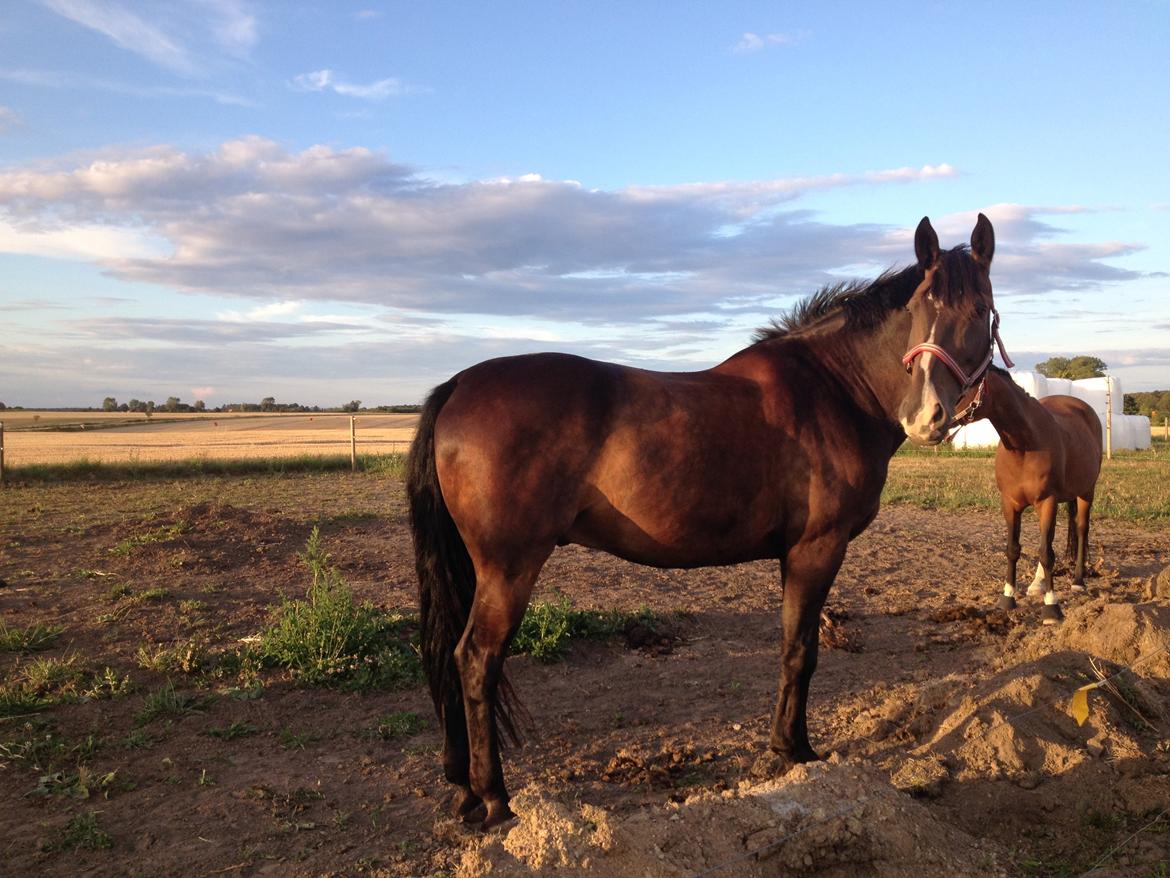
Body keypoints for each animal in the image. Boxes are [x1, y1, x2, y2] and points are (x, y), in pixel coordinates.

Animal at [407, 216, 1001, 828]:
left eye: (981, 309)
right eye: (921, 306)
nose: (928, 417)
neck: (835, 390)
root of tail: (459, 385)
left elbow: (793, 646)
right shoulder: (817, 548)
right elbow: (801, 651)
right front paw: (793, 750)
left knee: (452, 656)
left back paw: (464, 786)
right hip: (509, 569)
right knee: (476, 660)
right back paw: (494, 797)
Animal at [968, 367, 1104, 622]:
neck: (1023, 447)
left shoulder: (1047, 501)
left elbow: (1046, 553)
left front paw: (1052, 606)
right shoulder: (1010, 504)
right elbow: (1014, 549)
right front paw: (1007, 598)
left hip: (1085, 491)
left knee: (1081, 530)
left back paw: (1078, 580)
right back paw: (1037, 583)